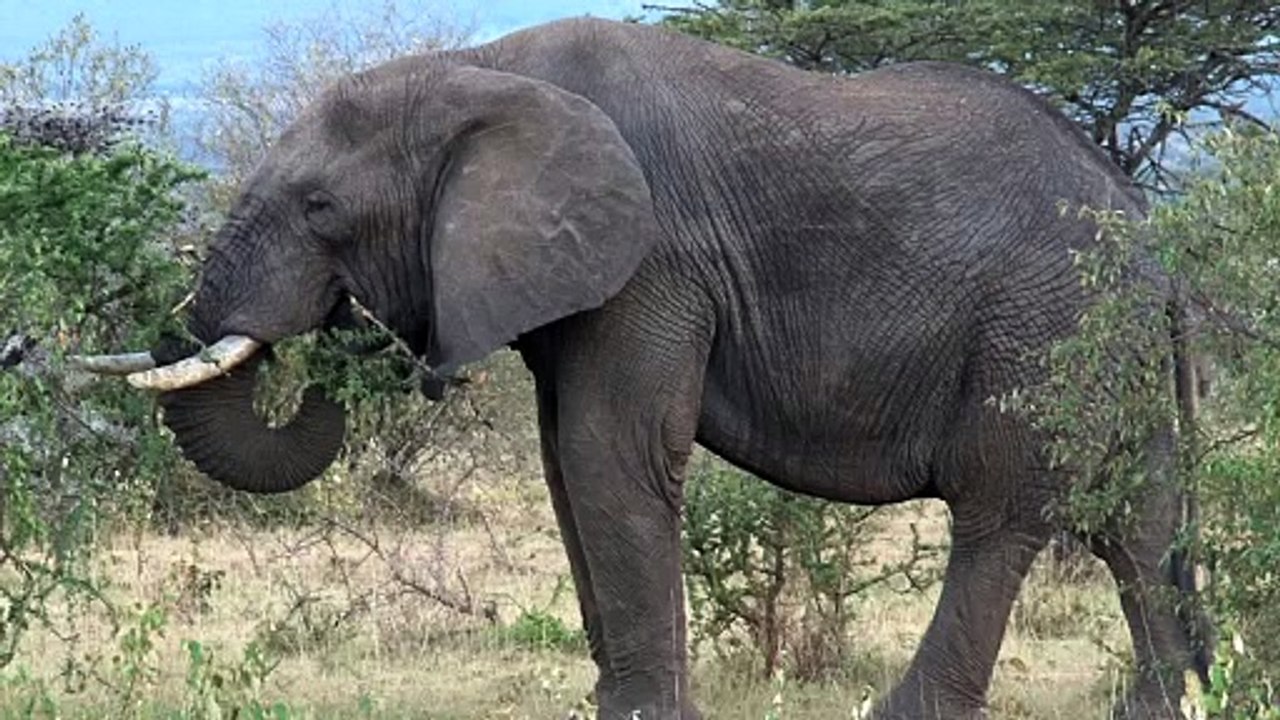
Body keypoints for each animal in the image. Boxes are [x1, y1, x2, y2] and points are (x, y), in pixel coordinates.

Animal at [78, 18, 1209, 719]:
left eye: (319, 208)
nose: (341, 332)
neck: (480, 67)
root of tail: (1150, 232)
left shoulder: (654, 260)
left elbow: (609, 453)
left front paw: (642, 712)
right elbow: (562, 464)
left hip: (1041, 322)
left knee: (1001, 507)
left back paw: (903, 709)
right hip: (1099, 332)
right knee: (1140, 516)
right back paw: (1160, 704)